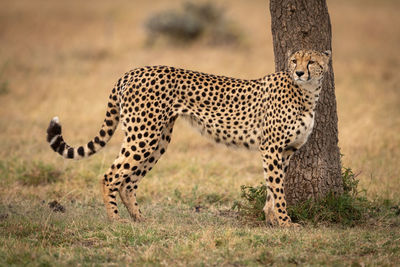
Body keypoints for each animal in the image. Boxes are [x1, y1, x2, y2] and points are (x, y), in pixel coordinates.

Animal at [46, 49, 332, 227]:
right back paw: (115, 220)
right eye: (295, 61)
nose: (299, 72)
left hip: (158, 139)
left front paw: (272, 219)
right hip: (144, 135)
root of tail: (134, 71)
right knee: (111, 175)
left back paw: (140, 219)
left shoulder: (285, 150)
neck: (307, 93)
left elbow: (273, 187)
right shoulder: (271, 148)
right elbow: (278, 188)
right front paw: (286, 223)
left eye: (311, 62)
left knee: (129, 182)